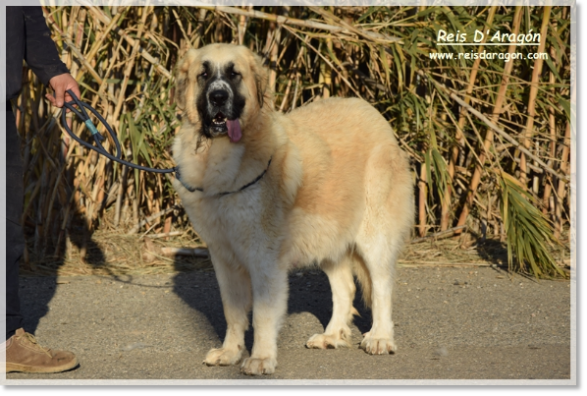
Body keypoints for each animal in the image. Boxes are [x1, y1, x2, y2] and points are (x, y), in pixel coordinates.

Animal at [172, 43, 416, 374]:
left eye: (234, 75)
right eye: (204, 74)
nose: (218, 97)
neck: (221, 155)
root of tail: (375, 114)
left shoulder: (264, 256)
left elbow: (263, 313)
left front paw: (261, 358)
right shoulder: (223, 255)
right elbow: (232, 311)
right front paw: (230, 353)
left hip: (373, 235)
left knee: (381, 286)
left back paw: (379, 338)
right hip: (327, 235)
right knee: (345, 288)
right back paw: (331, 335)